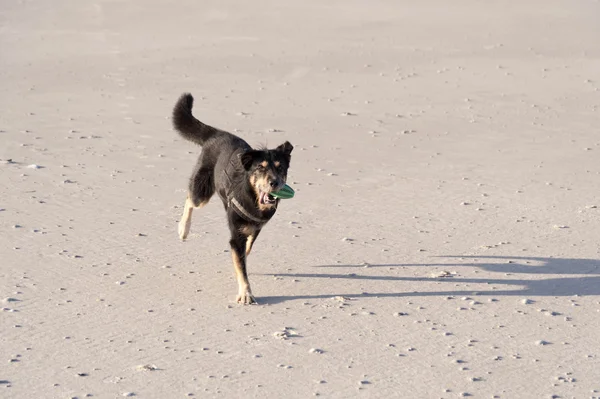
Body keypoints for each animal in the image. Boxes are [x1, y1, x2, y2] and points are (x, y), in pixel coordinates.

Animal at [171, 93, 292, 306]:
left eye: (280, 168)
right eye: (260, 167)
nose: (274, 183)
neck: (254, 200)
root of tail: (217, 134)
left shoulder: (254, 229)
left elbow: (245, 252)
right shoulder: (236, 236)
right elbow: (241, 266)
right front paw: (246, 293)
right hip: (202, 191)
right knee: (190, 198)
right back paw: (183, 229)